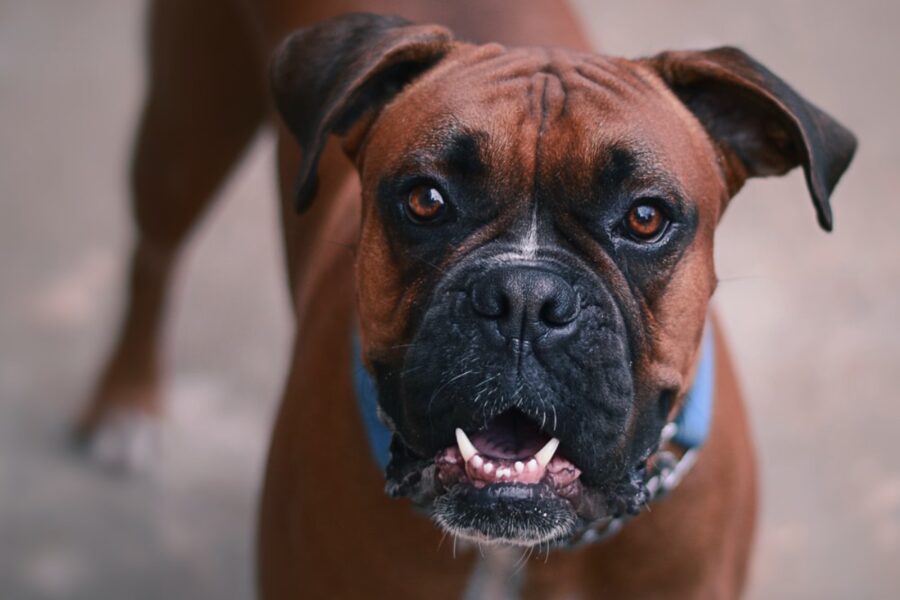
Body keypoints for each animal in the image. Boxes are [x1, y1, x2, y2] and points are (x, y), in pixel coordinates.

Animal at [75, 1, 852, 600]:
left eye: (644, 218)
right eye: (426, 200)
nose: (525, 299)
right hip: (182, 135)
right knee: (152, 260)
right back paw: (124, 405)